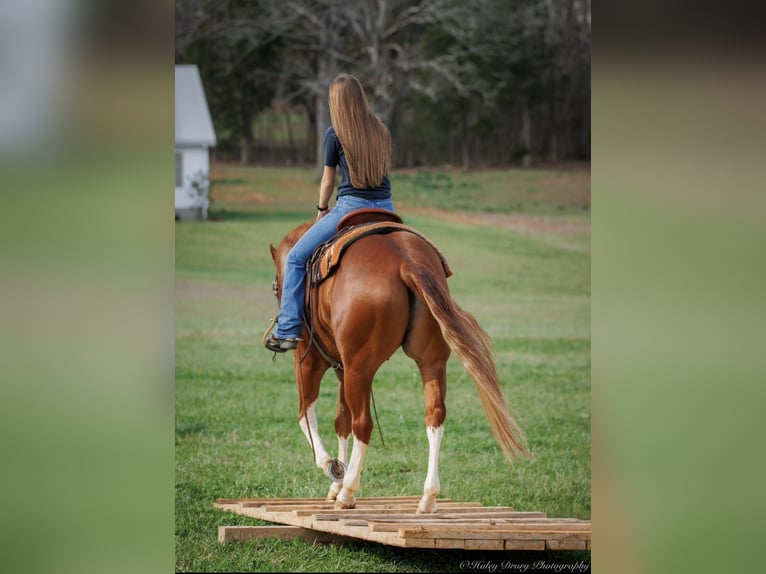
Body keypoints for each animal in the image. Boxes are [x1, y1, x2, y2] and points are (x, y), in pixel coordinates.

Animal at [268, 218, 528, 516]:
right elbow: (340, 422)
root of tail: (405, 262)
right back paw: (428, 497)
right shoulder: (341, 368)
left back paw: (349, 492)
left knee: (363, 423)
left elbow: (306, 415)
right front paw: (335, 482)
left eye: (276, 287)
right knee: (434, 415)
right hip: (430, 361)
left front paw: (333, 469)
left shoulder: (310, 360)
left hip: (359, 369)